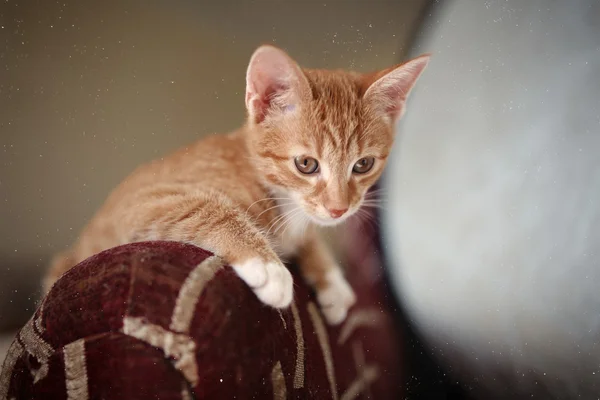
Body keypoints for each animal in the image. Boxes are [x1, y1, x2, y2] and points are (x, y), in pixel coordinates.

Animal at [44, 44, 428, 324]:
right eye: (306, 164)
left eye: (363, 165)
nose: (339, 209)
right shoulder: (142, 199)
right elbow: (206, 207)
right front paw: (267, 265)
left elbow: (308, 237)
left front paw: (331, 280)